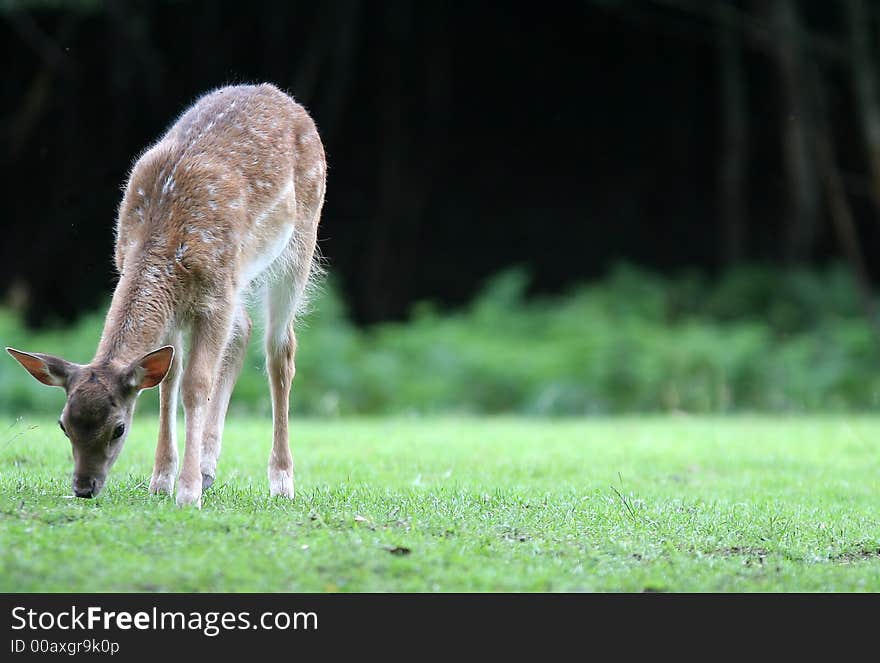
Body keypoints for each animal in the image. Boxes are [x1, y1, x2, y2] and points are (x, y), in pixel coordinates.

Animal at [4, 83, 326, 508]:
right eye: (63, 424)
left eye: (119, 428)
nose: (84, 487)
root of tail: (283, 97)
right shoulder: (179, 306)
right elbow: (167, 381)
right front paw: (161, 480)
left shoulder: (215, 294)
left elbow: (195, 385)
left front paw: (187, 493)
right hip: (242, 276)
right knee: (243, 327)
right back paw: (209, 467)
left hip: (299, 240)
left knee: (280, 350)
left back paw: (282, 481)